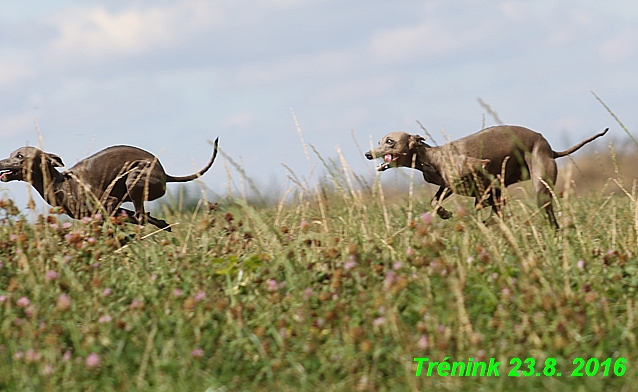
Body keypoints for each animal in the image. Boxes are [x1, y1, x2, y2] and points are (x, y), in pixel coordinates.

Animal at [0, 139, 220, 230]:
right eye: (11, 154)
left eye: (19, 156)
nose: (0, 162)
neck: (61, 184)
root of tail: (165, 173)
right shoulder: (113, 207)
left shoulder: (109, 202)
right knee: (142, 216)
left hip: (133, 179)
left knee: (140, 216)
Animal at [364, 125, 608, 230]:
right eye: (379, 141)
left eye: (390, 141)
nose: (368, 154)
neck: (430, 157)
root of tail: (551, 149)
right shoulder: (447, 185)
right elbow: (434, 201)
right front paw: (444, 213)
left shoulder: (484, 169)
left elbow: (483, 197)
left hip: (540, 186)